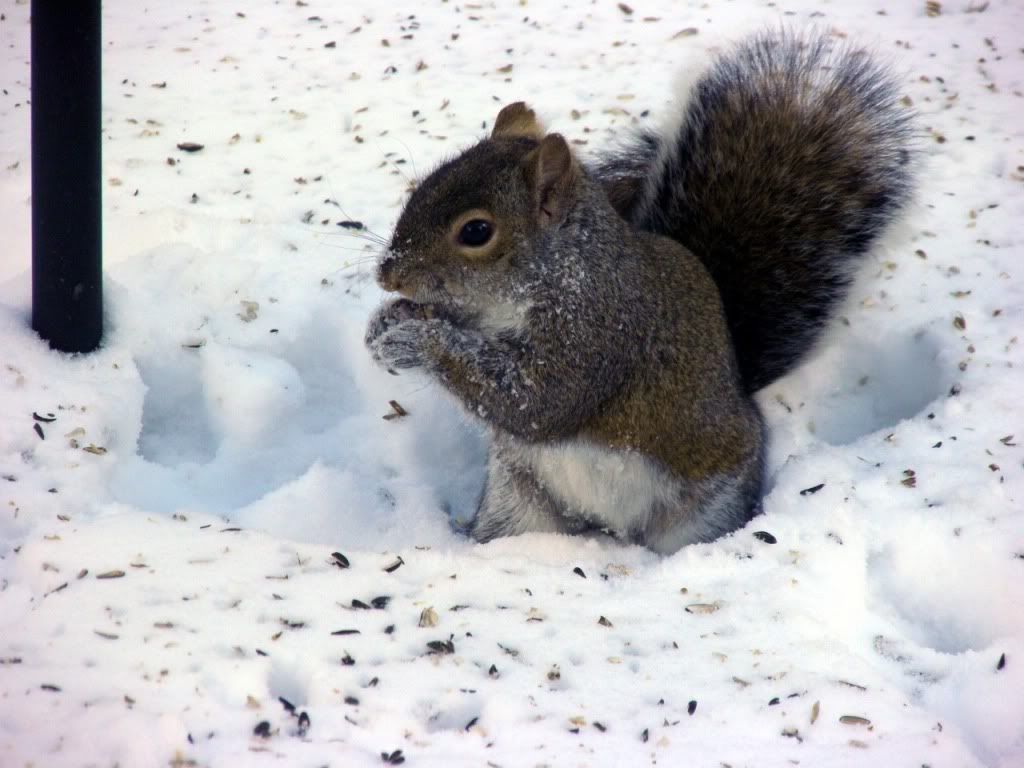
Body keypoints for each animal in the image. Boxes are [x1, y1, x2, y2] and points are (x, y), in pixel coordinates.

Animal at [364, 30, 914, 554]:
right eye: (421, 188)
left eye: (476, 231)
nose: (389, 276)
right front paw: (386, 324)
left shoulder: (599, 333)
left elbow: (535, 400)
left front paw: (415, 341)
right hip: (515, 501)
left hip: (704, 508)